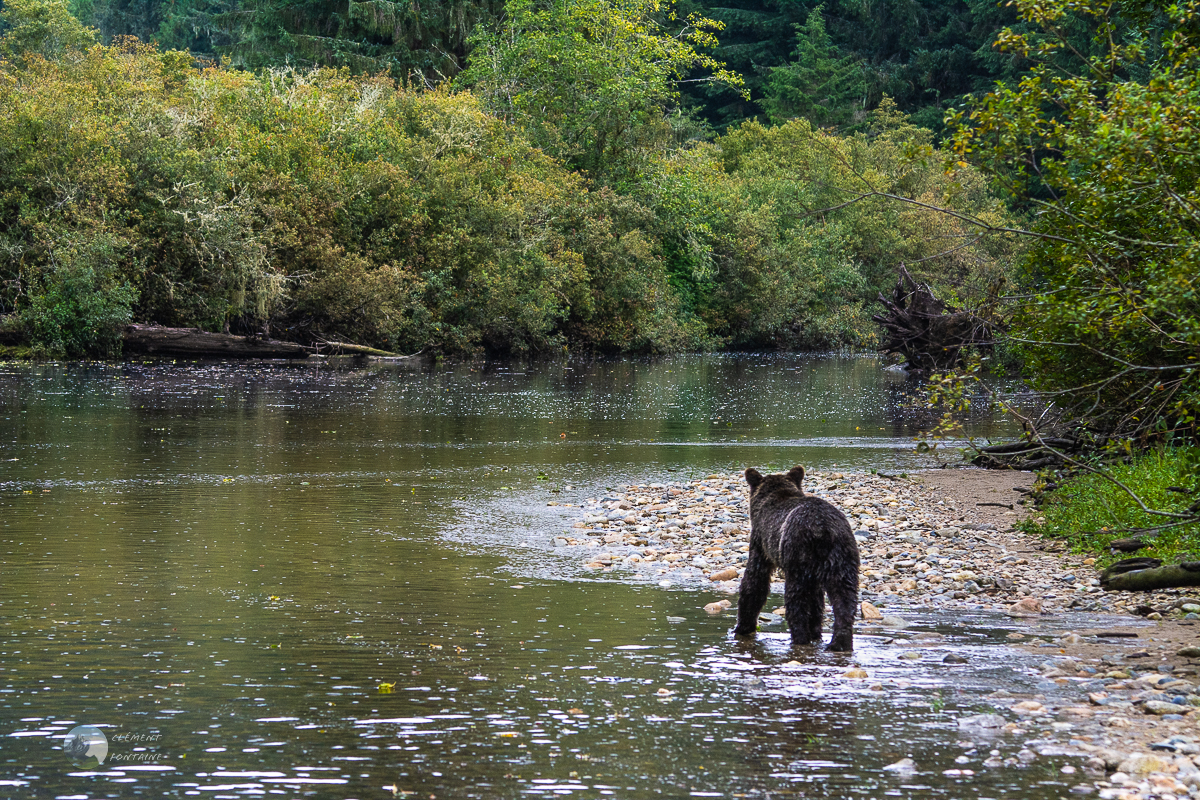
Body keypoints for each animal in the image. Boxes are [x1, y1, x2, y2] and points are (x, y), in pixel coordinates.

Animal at [724, 470, 859, 652]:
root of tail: (823, 529)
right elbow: (817, 599)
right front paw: (815, 631)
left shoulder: (761, 542)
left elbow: (754, 581)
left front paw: (743, 627)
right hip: (843, 555)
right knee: (844, 597)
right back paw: (840, 643)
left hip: (798, 553)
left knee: (796, 598)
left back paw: (800, 637)